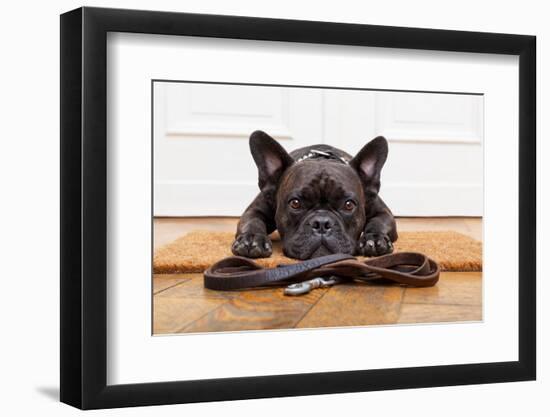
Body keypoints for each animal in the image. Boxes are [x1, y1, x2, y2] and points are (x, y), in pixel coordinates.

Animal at [231, 131, 398, 260]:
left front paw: (374, 238)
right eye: (295, 203)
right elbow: (253, 222)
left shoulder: (383, 213)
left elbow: (378, 222)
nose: (322, 223)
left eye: (349, 205)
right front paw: (252, 239)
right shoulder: (254, 211)